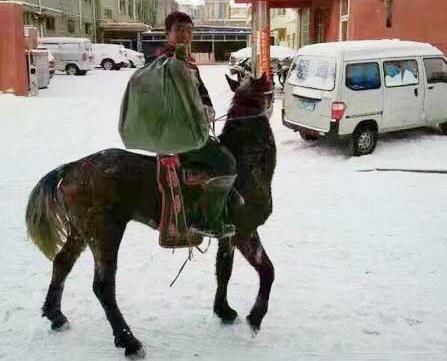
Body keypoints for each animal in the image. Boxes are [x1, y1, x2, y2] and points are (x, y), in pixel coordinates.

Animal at [25, 74, 276, 358]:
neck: (246, 162)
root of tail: (71, 168)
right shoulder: (246, 232)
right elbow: (267, 271)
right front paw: (255, 317)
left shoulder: (229, 236)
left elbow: (224, 271)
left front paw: (224, 311)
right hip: (105, 234)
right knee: (103, 287)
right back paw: (129, 341)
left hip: (80, 232)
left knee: (61, 264)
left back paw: (55, 315)